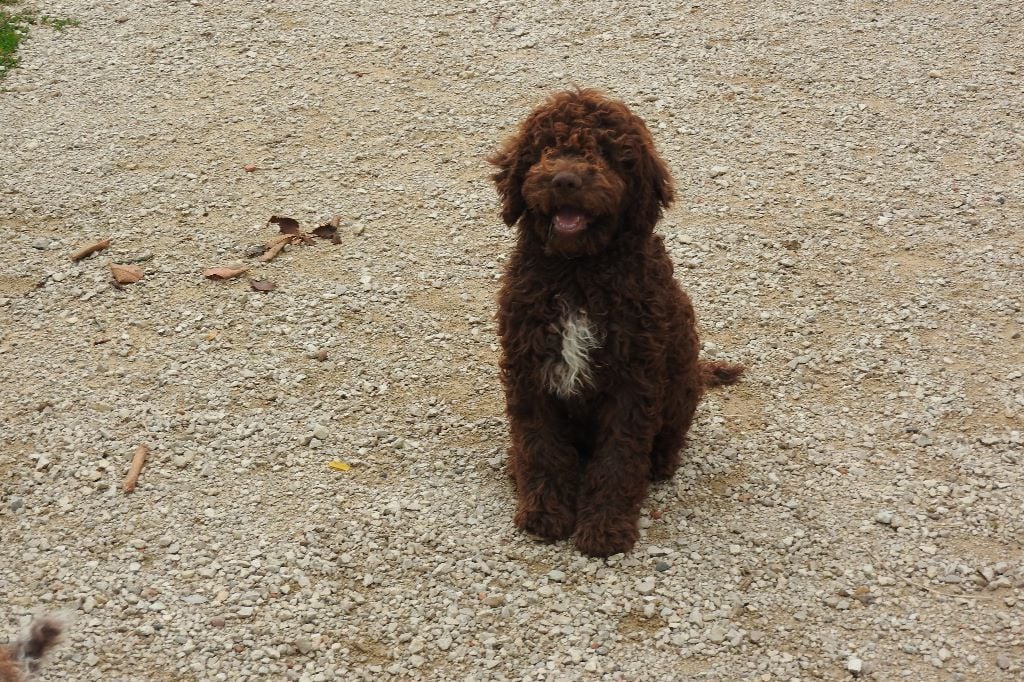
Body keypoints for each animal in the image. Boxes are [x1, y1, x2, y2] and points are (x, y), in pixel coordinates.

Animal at [489, 90, 745, 557]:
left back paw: (660, 463)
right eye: (547, 148)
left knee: (666, 439)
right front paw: (544, 513)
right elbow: (539, 444)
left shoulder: (634, 379)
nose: (565, 180)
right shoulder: (529, 369)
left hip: (680, 388)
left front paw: (605, 529)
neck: (578, 272)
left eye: (607, 153)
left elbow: (619, 459)